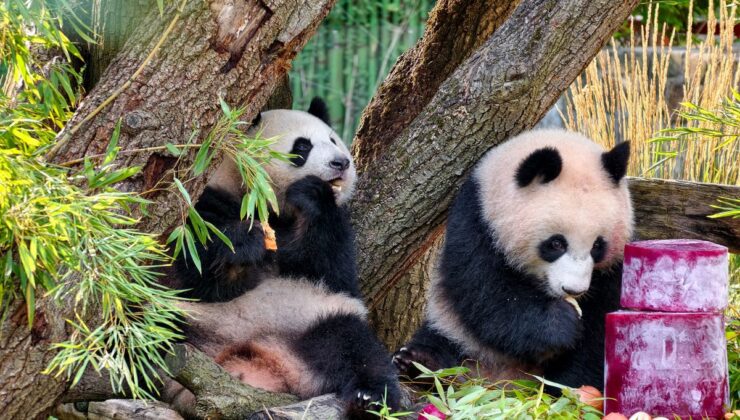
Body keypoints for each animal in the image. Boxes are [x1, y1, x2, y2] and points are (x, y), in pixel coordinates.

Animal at [164, 98, 401, 418]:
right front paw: (244, 244)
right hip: (186, 322)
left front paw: (313, 194)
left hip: (316, 320)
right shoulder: (203, 204)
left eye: (333, 140)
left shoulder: (332, 235)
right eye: (302, 147)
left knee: (356, 348)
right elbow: (196, 273)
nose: (341, 162)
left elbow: (330, 269)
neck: (270, 206)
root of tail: (265, 360)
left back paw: (370, 397)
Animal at [393, 129, 633, 390]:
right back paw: (420, 363)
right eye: (556, 243)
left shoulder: (614, 267)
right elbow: (487, 293)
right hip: (452, 328)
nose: (573, 289)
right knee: (439, 340)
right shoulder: (476, 220)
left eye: (597, 246)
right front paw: (559, 324)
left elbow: (598, 329)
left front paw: (566, 384)